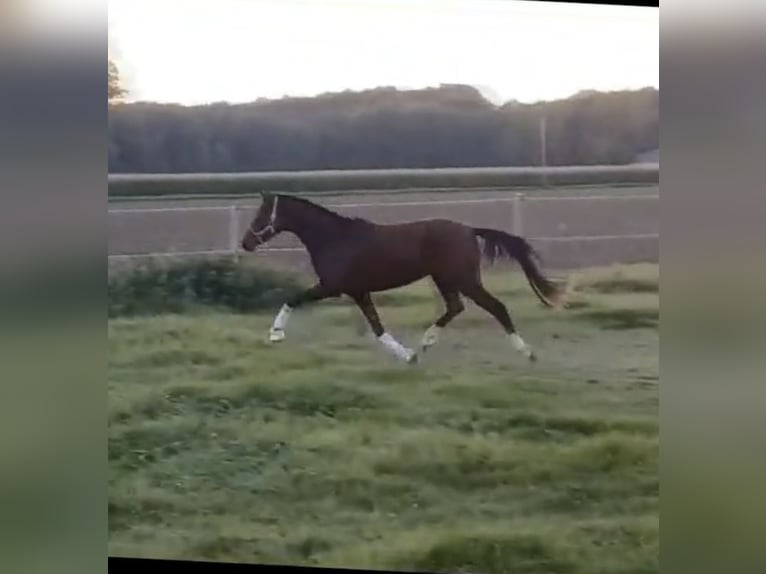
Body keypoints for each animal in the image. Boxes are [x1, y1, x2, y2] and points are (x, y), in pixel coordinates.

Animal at [242, 194, 564, 364]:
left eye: (261, 215)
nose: (246, 243)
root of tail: (470, 230)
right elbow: (376, 326)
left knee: (496, 307)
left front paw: (275, 334)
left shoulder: (332, 287)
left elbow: (293, 298)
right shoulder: (358, 291)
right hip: (445, 279)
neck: (335, 238)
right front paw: (408, 355)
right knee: (455, 307)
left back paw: (527, 352)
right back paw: (426, 342)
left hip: (463, 279)